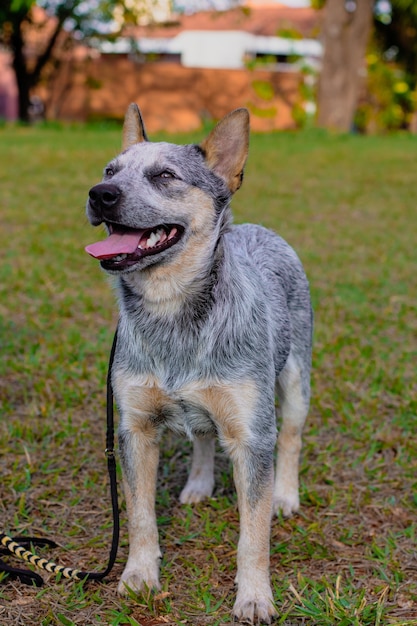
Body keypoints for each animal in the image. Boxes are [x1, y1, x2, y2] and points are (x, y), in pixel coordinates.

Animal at [85, 105, 312, 620]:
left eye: (165, 175)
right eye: (110, 171)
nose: (99, 195)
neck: (171, 315)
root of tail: (259, 229)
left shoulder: (253, 435)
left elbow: (254, 534)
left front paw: (254, 596)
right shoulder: (134, 428)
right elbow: (140, 516)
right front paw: (138, 577)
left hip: (295, 382)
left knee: (291, 439)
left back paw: (285, 496)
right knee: (204, 434)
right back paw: (198, 484)